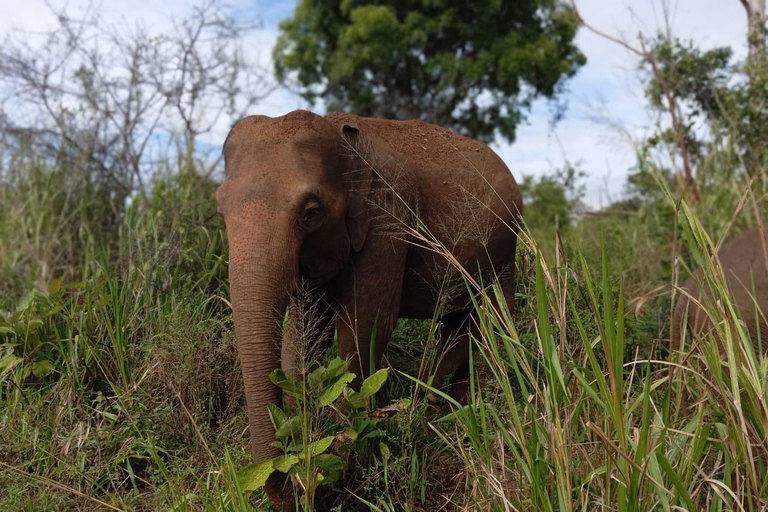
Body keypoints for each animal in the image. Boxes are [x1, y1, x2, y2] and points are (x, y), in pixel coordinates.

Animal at [216, 110, 520, 506]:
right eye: (219, 209)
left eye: (312, 212)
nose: (298, 487)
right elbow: (305, 335)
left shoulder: (387, 218)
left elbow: (365, 326)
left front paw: (345, 457)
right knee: (458, 325)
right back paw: (439, 409)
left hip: (507, 249)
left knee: (494, 323)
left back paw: (457, 414)